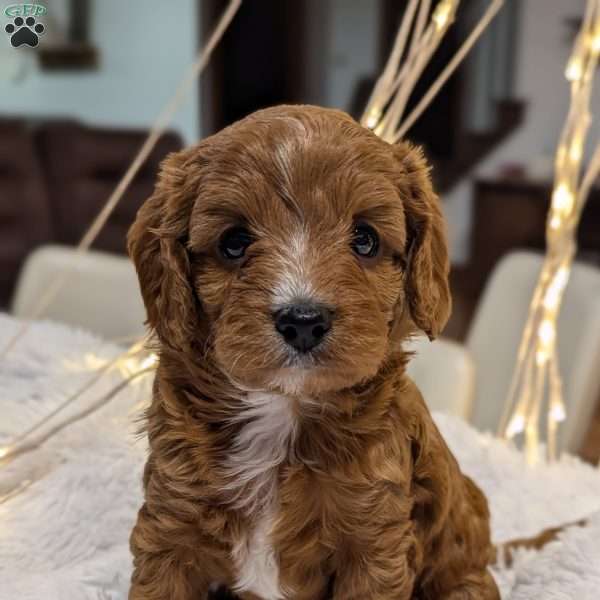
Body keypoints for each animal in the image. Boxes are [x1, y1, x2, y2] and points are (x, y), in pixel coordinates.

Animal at [127, 105, 502, 596]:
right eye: (234, 242)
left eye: (365, 239)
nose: (303, 321)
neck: (283, 411)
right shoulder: (170, 527)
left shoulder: (374, 545)